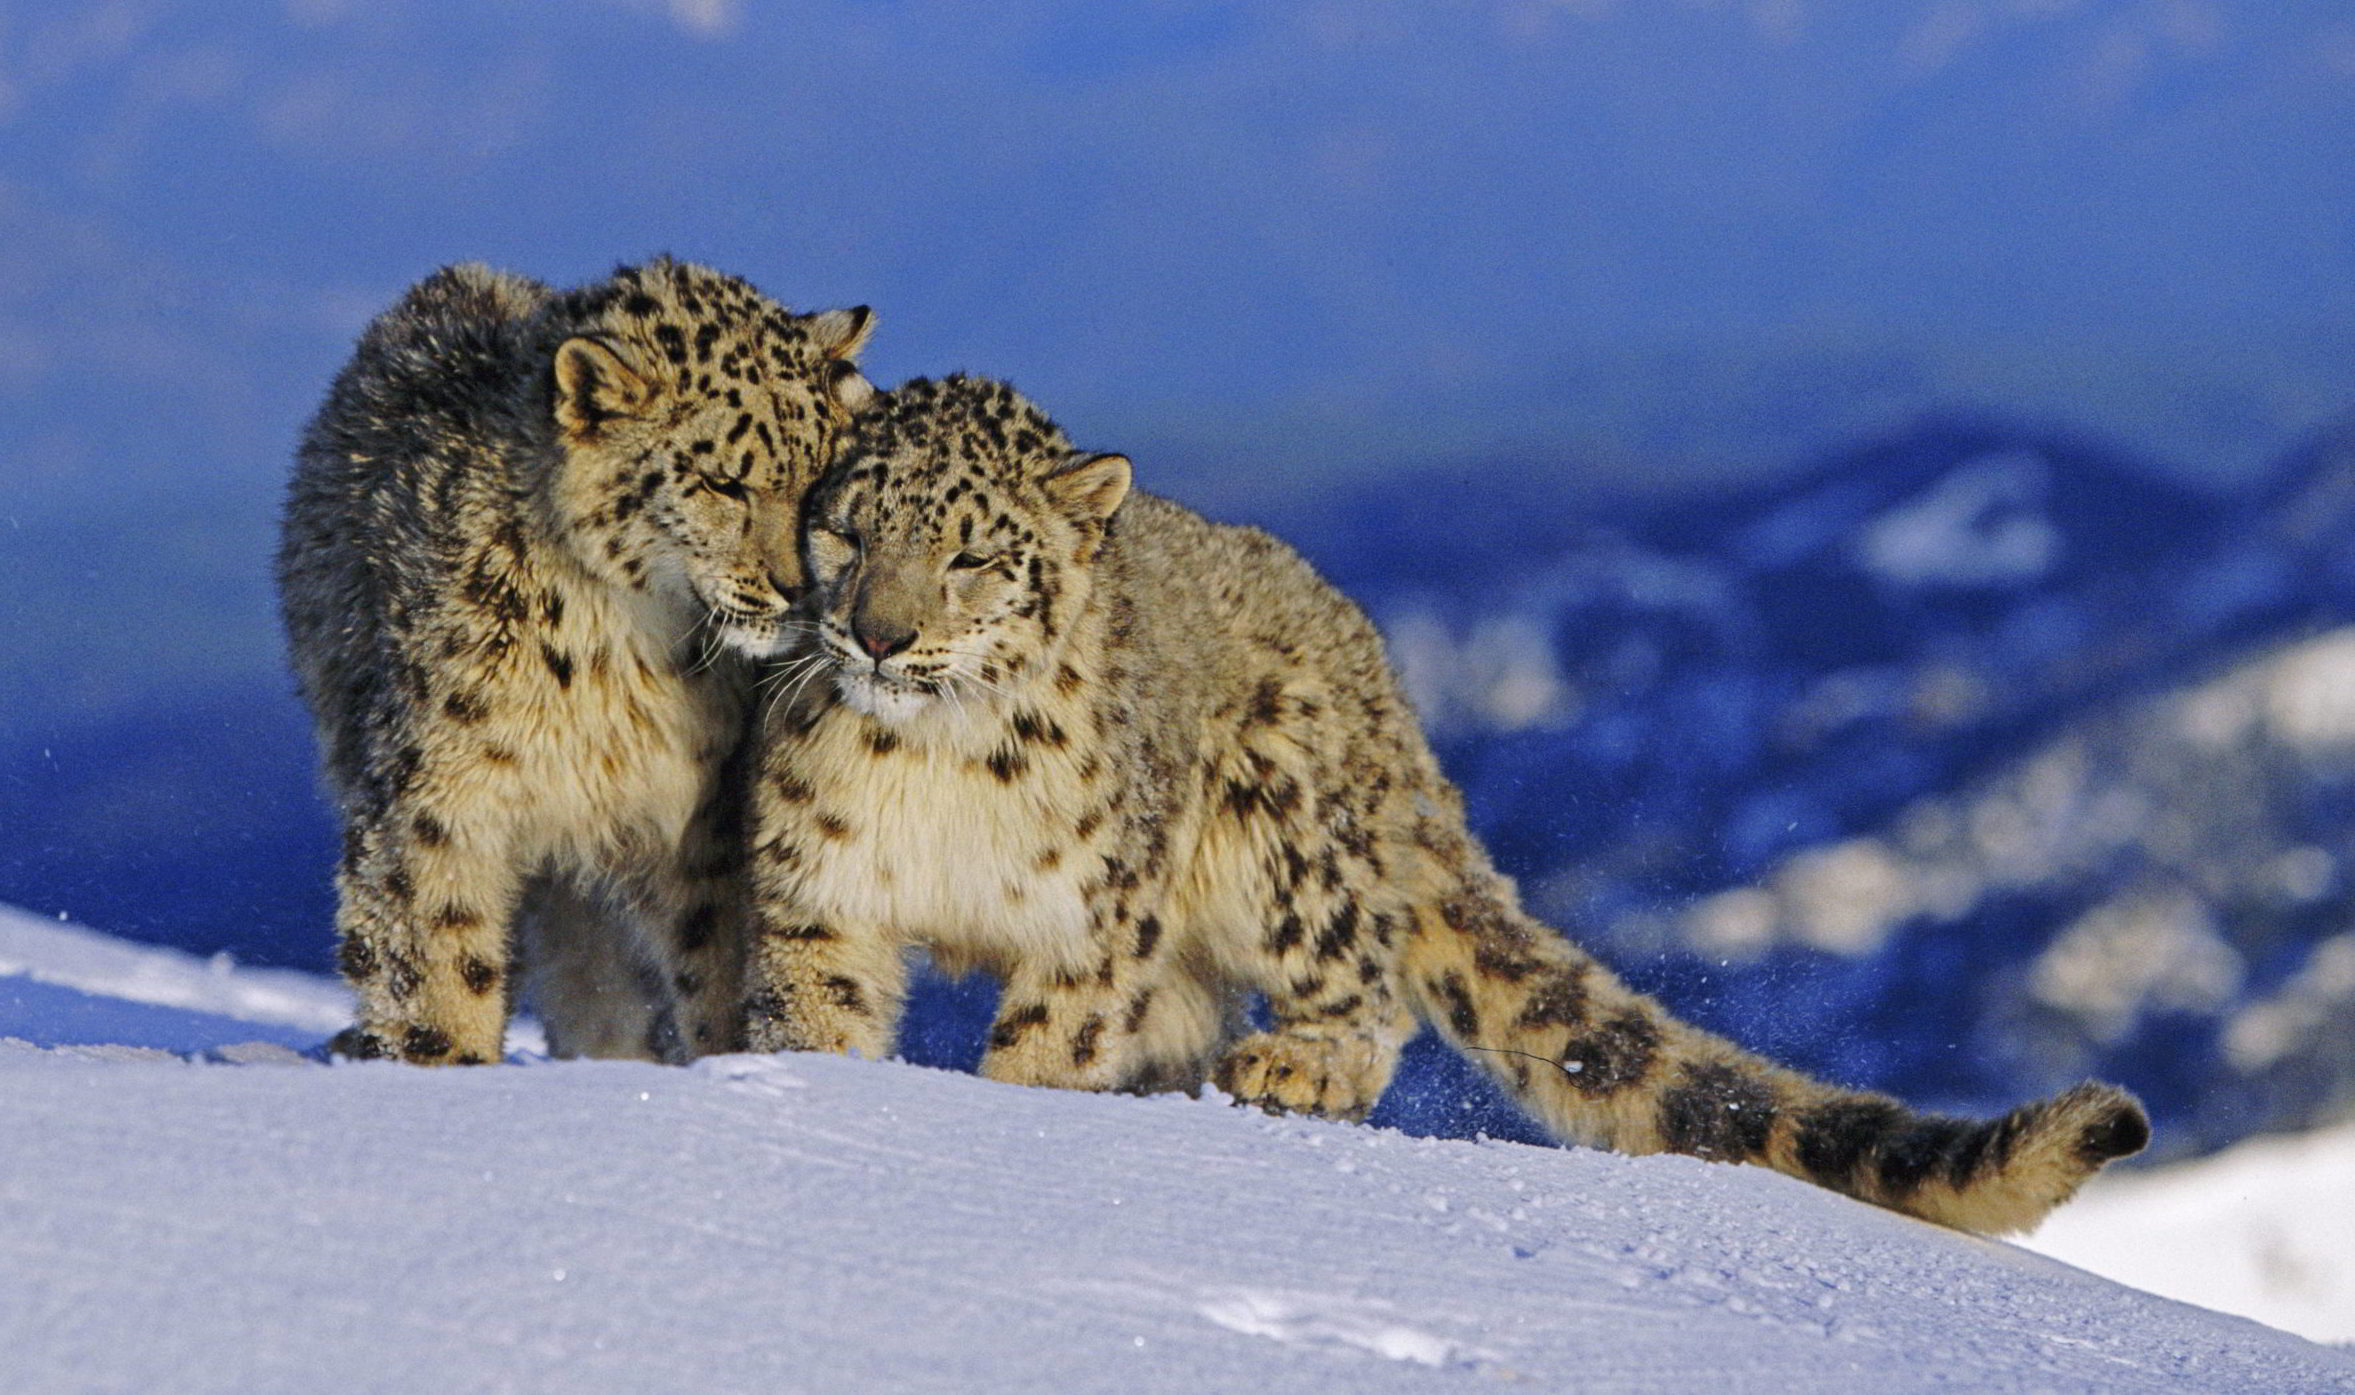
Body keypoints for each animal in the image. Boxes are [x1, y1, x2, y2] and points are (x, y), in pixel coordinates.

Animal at [275, 255, 880, 1069]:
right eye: (722, 481)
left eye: (825, 478)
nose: (801, 588)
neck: (619, 651)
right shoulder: (438, 795)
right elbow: (437, 950)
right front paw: (446, 1062)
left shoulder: (694, 817)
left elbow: (713, 960)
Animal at [739, 372, 2157, 1234]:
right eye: (848, 528)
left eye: (974, 554)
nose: (876, 633)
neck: (934, 766)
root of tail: (1390, 696)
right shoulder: (817, 893)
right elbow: (816, 1019)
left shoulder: (1091, 929)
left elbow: (1049, 1050)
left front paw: (1016, 1120)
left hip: (1286, 827)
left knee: (1364, 995)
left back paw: (1294, 1064)